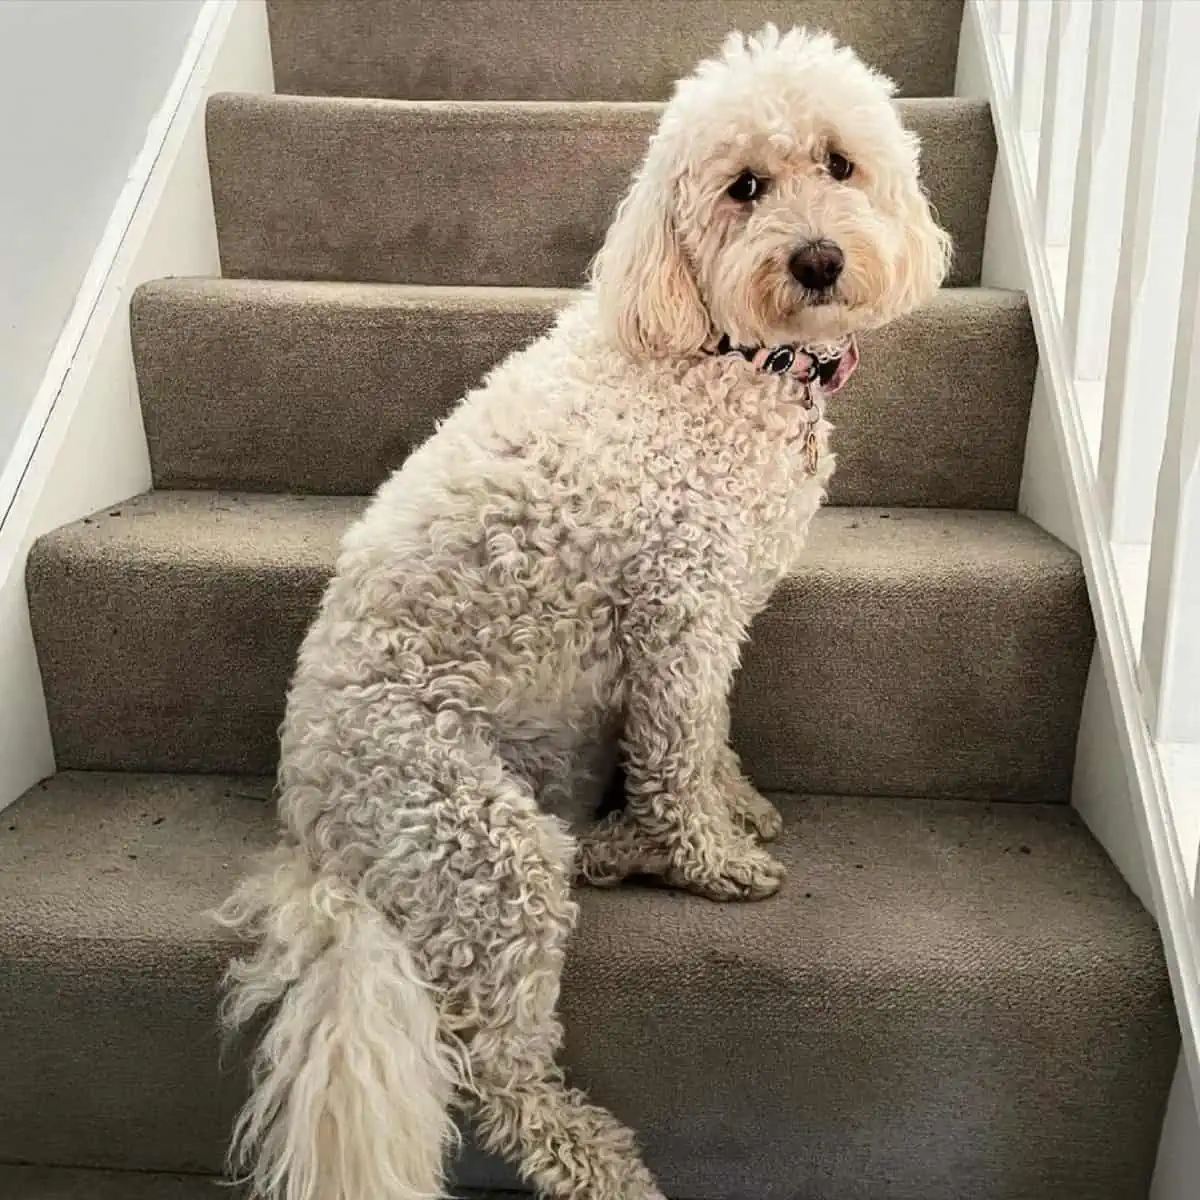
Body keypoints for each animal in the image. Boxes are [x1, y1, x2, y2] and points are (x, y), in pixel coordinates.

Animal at [213, 23, 945, 1200]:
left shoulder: (720, 612)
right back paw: (595, 1157)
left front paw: (734, 806)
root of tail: (318, 841)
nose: (818, 260)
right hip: (480, 846)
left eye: (840, 164)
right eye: (744, 187)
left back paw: (609, 850)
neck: (726, 355)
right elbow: (679, 750)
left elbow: (709, 737)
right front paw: (710, 859)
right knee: (491, 1067)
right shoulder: (681, 609)